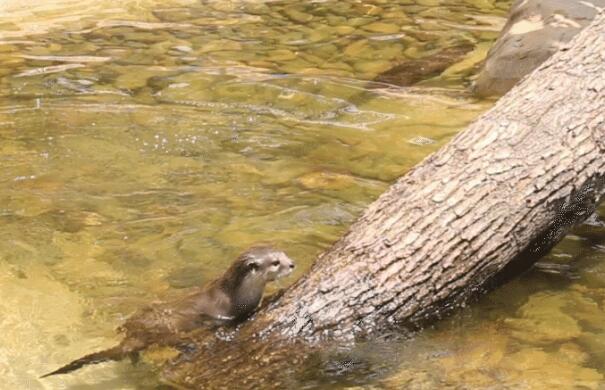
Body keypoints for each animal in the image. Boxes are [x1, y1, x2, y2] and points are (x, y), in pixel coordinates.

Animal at [39, 247, 294, 378]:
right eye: (275, 262)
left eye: (283, 254)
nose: (292, 264)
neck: (234, 294)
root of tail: (134, 335)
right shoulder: (227, 313)